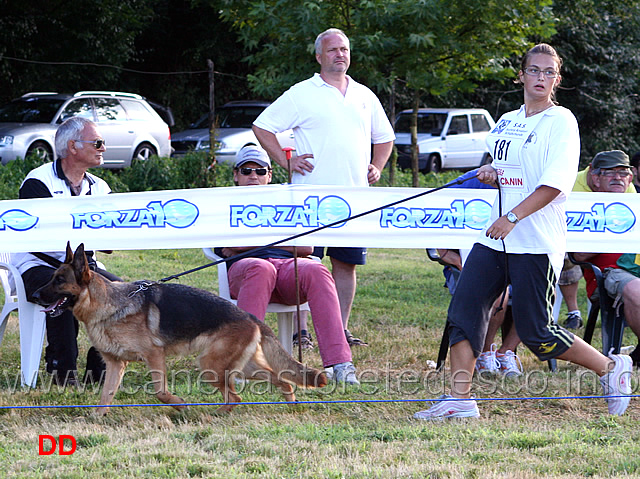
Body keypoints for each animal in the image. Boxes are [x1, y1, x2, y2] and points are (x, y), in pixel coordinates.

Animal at [34, 246, 328, 414]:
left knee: (236, 396)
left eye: (59, 280)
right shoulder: (116, 364)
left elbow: (160, 392)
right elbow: (105, 396)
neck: (108, 304)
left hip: (211, 366)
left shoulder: (154, 356)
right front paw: (97, 417)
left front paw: (180, 405)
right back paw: (289, 405)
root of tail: (250, 316)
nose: (35, 295)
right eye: (51, 277)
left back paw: (212, 414)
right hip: (242, 367)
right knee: (281, 380)